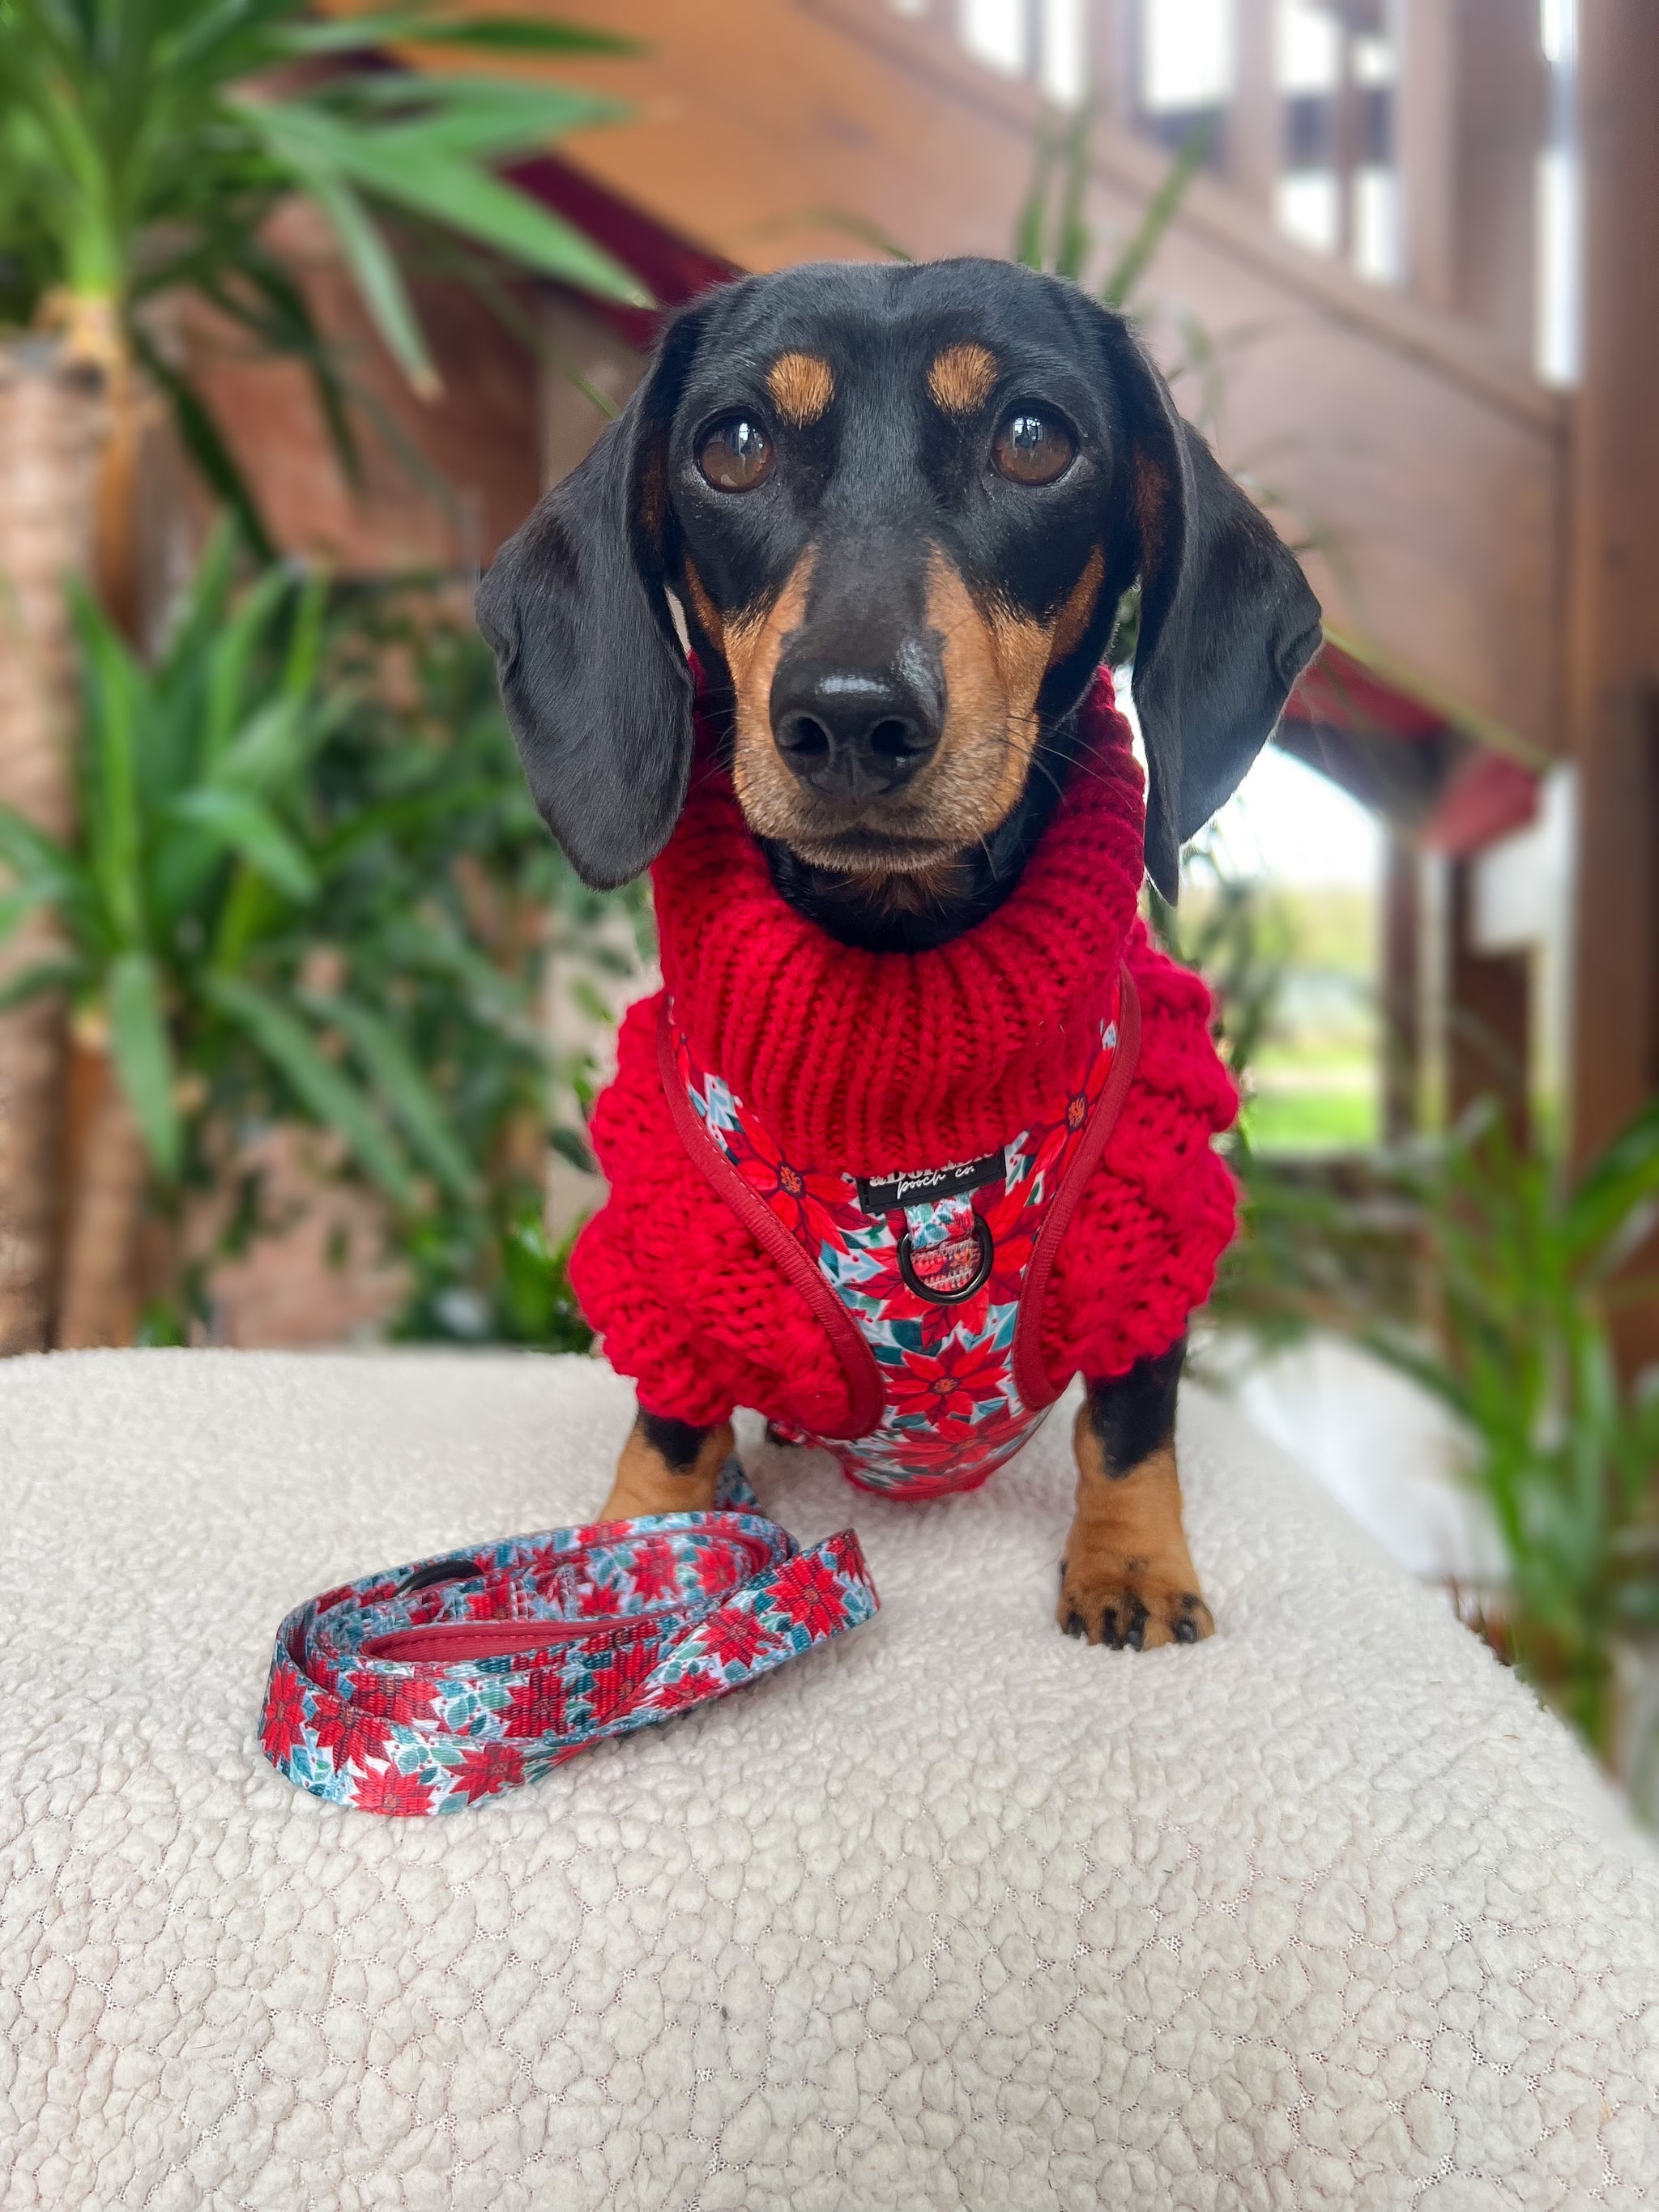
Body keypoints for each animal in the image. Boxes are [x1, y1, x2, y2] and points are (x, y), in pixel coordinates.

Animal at [480, 254, 1327, 1645]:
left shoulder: (1153, 1229)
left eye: (1035, 438)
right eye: (734, 445)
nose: (850, 718)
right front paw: (640, 1546)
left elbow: (1131, 1424)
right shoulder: (674, 1268)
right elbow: (671, 1428)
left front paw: (1134, 1564)